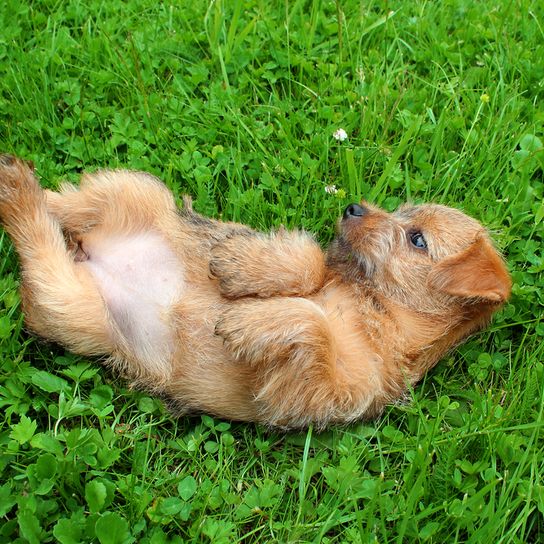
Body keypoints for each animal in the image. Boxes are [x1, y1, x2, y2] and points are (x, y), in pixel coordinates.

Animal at [0, 154, 510, 430]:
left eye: (417, 239)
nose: (351, 207)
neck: (371, 307)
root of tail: (89, 253)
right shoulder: (326, 273)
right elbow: (311, 265)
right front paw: (242, 264)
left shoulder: (321, 392)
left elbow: (312, 323)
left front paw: (249, 320)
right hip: (135, 191)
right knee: (65, 201)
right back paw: (19, 179)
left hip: (67, 305)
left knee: (40, 243)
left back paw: (17, 190)